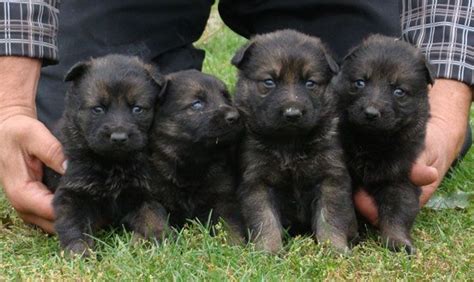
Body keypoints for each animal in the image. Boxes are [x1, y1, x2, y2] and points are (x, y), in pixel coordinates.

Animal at [42, 54, 168, 256]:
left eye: (137, 109)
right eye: (98, 109)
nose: (119, 138)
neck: (114, 164)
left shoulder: (144, 191)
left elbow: (153, 215)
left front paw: (158, 238)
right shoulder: (73, 191)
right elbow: (73, 223)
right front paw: (79, 250)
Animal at [149, 70, 246, 238]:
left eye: (226, 98)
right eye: (197, 104)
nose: (235, 116)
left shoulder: (224, 199)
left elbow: (230, 226)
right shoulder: (152, 196)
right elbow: (153, 218)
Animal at [231, 29, 358, 253]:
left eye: (310, 83)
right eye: (269, 82)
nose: (292, 114)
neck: (289, 143)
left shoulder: (331, 177)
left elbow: (330, 217)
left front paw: (334, 249)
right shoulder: (257, 181)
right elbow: (265, 219)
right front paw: (269, 250)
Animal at [334, 34, 434, 253]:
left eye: (399, 91)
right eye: (360, 82)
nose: (371, 113)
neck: (370, 142)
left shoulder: (399, 179)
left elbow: (397, 213)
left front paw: (398, 242)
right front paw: (351, 237)